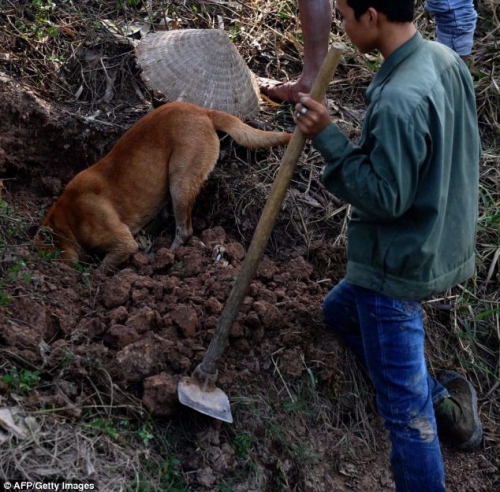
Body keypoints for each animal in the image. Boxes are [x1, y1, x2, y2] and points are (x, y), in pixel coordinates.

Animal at [37, 100, 292, 270]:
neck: (68, 216)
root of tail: (203, 112)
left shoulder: (122, 243)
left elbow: (105, 267)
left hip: (180, 182)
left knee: (184, 229)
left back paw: (166, 253)